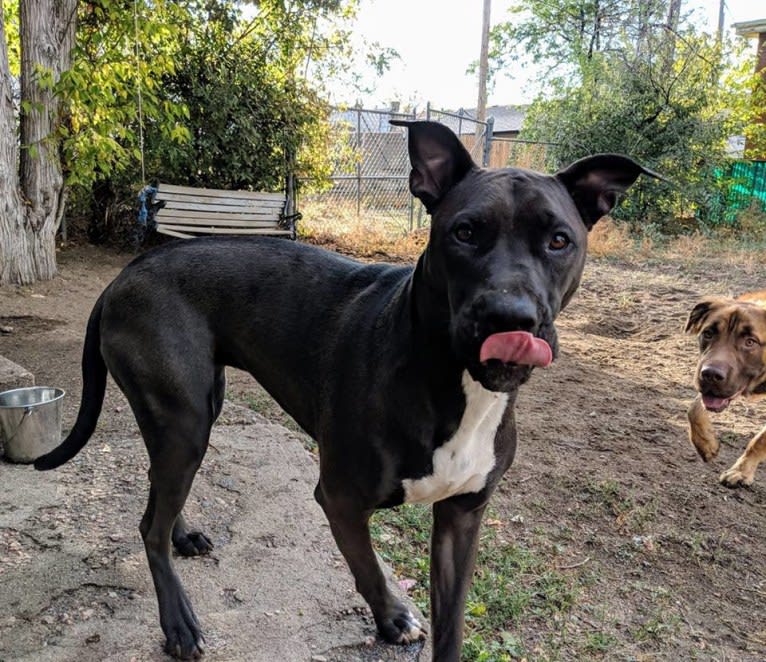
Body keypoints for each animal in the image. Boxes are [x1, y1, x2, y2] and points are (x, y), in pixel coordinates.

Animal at [36, 122, 656, 660]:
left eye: (559, 240)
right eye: (464, 232)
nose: (511, 318)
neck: (450, 383)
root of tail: (125, 275)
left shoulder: (462, 518)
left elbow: (452, 625)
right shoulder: (339, 499)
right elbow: (369, 570)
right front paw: (393, 618)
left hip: (189, 414)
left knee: (159, 494)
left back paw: (182, 533)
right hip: (185, 420)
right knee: (149, 527)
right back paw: (179, 624)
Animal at [688, 294, 766, 490]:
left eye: (750, 342)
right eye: (708, 333)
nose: (710, 374)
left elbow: (759, 440)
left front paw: (741, 471)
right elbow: (694, 409)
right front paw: (706, 444)